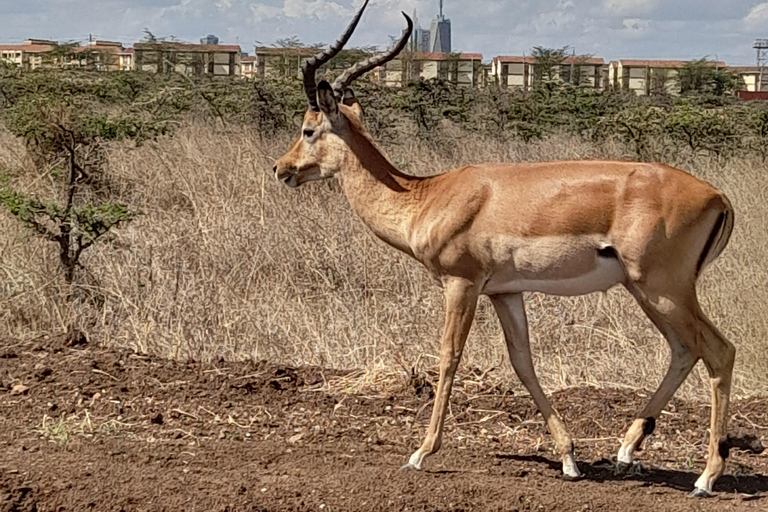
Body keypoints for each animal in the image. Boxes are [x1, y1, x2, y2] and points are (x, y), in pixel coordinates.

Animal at [274, 0, 736, 496]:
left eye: (308, 129)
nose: (281, 169)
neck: (426, 196)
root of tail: (718, 196)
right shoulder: (505, 292)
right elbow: (523, 362)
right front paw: (568, 458)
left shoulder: (461, 284)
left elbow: (448, 357)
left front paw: (420, 453)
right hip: (648, 292)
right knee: (684, 350)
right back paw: (627, 451)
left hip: (662, 289)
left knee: (719, 351)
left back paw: (706, 476)